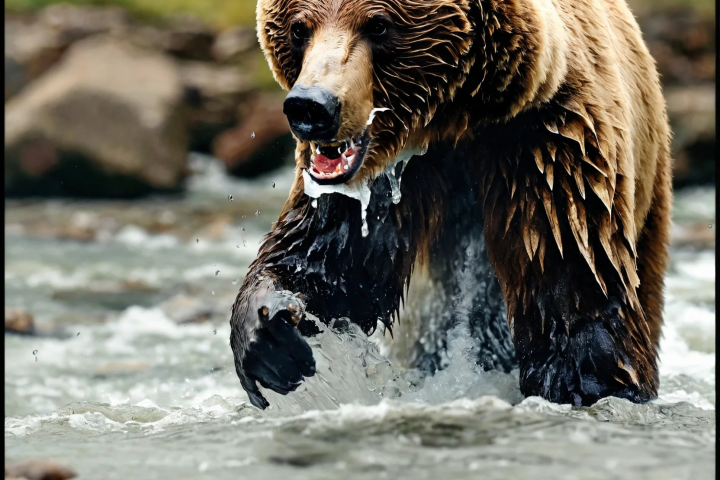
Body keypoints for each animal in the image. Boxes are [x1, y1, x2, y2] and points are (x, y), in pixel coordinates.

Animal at [230, 0, 672, 410]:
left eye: (378, 24)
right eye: (298, 28)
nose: (311, 106)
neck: (458, 117)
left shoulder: (552, 148)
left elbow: (570, 283)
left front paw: (585, 382)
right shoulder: (384, 179)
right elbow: (328, 259)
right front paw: (271, 336)